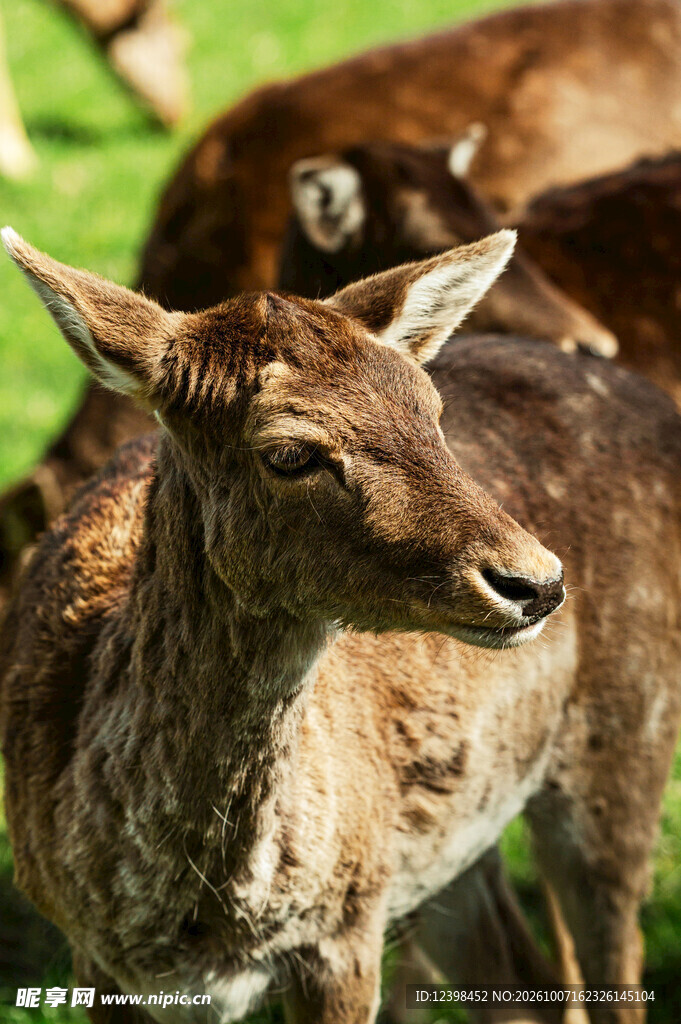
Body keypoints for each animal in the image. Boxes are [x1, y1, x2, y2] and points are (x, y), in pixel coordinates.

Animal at [2, 227, 681, 1024]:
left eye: (432, 412)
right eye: (289, 452)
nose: (536, 582)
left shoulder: (347, 921)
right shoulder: (97, 954)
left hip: (629, 731)